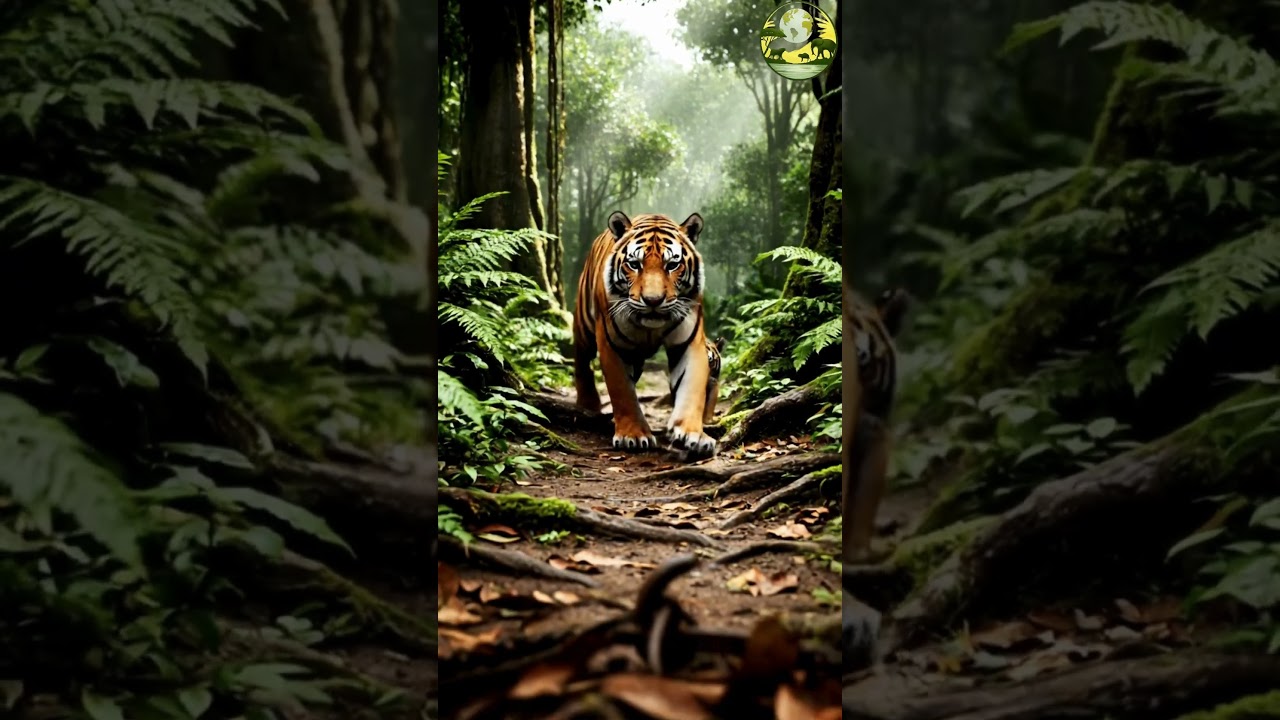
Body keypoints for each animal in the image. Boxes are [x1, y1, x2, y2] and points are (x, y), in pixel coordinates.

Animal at [573, 211, 717, 458]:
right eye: (634, 264)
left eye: (672, 265)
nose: (653, 301)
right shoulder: (611, 343)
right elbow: (622, 390)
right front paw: (632, 435)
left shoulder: (689, 341)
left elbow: (692, 387)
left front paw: (693, 435)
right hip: (583, 326)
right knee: (581, 360)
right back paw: (588, 404)